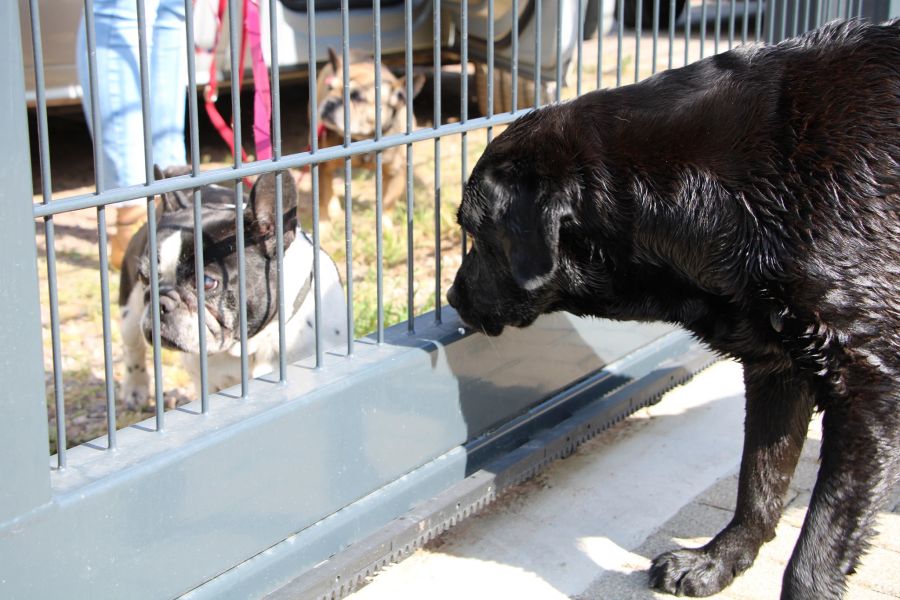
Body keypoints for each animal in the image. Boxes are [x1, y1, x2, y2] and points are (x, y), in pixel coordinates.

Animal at [312, 48, 426, 223]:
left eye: (357, 97)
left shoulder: (396, 173)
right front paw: (324, 225)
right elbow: (323, 197)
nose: (330, 102)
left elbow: (387, 202)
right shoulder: (322, 165)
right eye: (329, 88)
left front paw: (385, 225)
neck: (363, 138)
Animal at [446, 18, 896, 600]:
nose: (452, 297)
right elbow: (759, 481)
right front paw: (718, 559)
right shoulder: (780, 366)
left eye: (476, 234)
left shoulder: (870, 392)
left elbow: (819, 542)